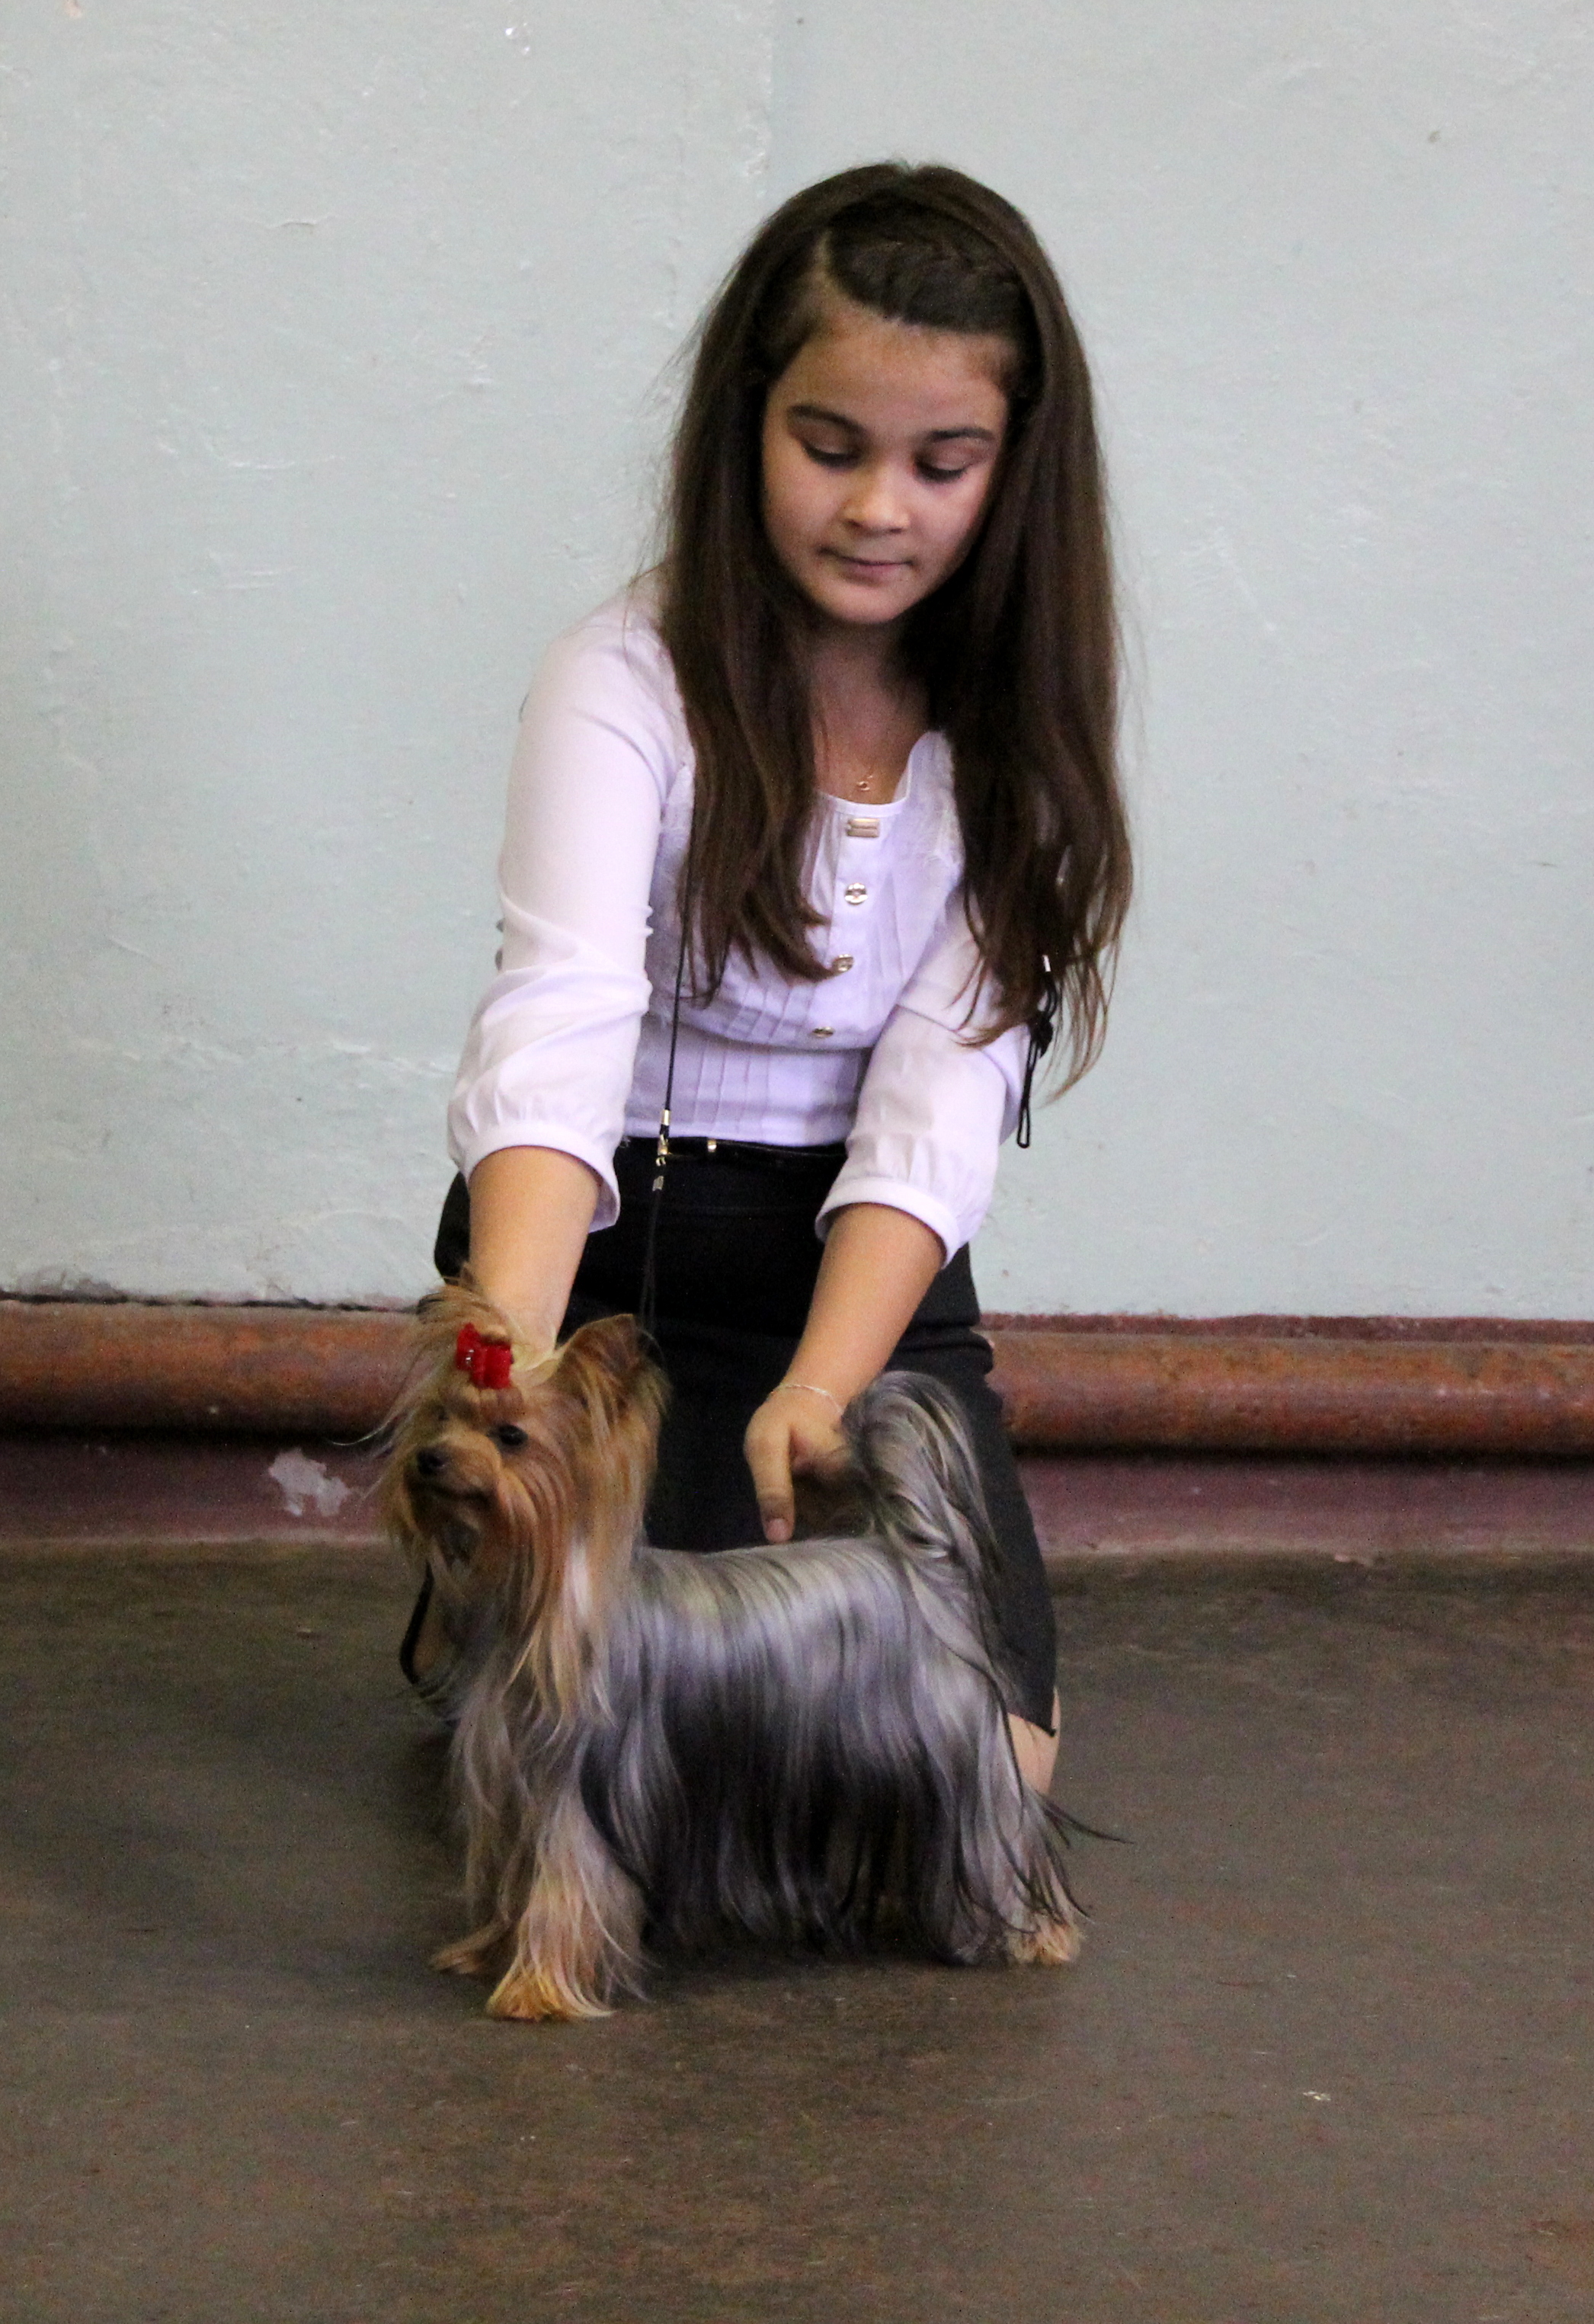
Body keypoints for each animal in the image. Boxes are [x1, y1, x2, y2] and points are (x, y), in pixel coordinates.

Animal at [383, 1279, 1081, 2021]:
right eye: (440, 1416)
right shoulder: (512, 1780)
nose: (429, 1458)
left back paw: (1032, 1933)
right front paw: (490, 1950)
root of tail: (916, 1557)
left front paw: (538, 1988)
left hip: (957, 1757)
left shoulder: (582, 1793)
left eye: (511, 1437)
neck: (537, 1603)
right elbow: (518, 1875)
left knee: (997, 1833)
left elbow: (568, 1881)